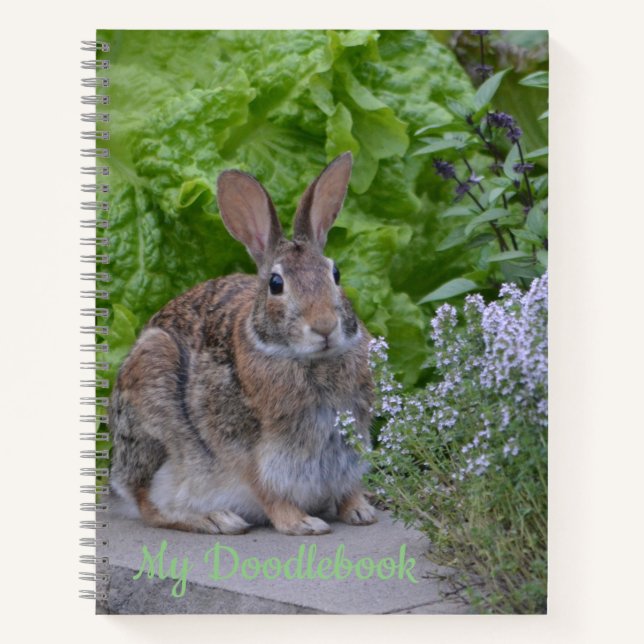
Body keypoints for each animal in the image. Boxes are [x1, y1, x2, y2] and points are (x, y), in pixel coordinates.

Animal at [109, 152, 377, 536]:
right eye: (276, 284)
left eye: (336, 273)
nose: (325, 326)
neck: (309, 359)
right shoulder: (250, 453)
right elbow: (267, 491)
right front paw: (302, 524)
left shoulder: (350, 445)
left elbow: (347, 486)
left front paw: (359, 510)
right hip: (154, 402)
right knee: (149, 505)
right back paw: (216, 519)